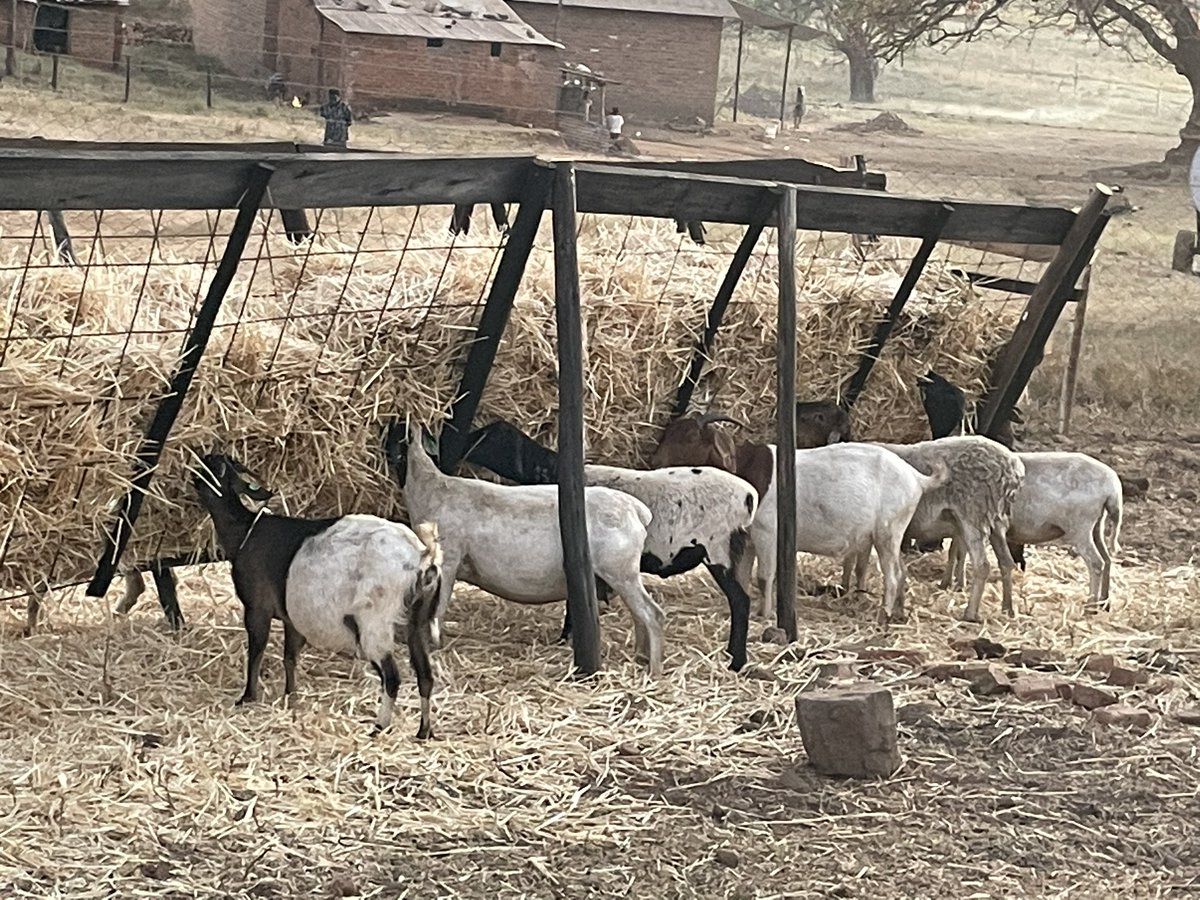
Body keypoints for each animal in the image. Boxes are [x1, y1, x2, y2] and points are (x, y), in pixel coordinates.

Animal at [192, 454, 442, 737]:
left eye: (213, 469)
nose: (191, 474)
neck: (244, 531)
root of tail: (422, 557)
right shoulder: (291, 617)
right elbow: (289, 657)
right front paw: (290, 696)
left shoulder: (257, 608)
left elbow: (256, 652)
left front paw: (247, 697)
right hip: (418, 623)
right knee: (425, 676)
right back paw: (423, 732)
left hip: (374, 624)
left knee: (392, 677)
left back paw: (379, 726)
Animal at [387, 424, 666, 675]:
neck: (430, 489)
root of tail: (638, 511)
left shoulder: (449, 558)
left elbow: (438, 606)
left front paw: (431, 644)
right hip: (621, 573)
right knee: (639, 616)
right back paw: (640, 658)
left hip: (619, 570)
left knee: (652, 613)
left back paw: (653, 670)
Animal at [460, 420, 759, 670]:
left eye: (491, 437)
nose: (460, 444)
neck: (553, 473)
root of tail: (749, 496)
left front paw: (567, 638)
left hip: (717, 550)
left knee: (740, 601)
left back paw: (736, 661)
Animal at [875, 436, 1024, 622]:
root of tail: (1012, 467)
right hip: (995, 520)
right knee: (1006, 562)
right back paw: (1007, 609)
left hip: (973, 515)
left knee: (982, 565)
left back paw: (970, 613)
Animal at [946, 451, 1122, 610]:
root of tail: (1113, 487)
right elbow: (958, 551)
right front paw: (955, 583)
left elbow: (959, 551)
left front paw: (955, 584)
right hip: (1096, 525)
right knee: (1107, 559)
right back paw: (1104, 602)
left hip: (1081, 527)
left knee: (1096, 563)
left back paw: (1090, 605)